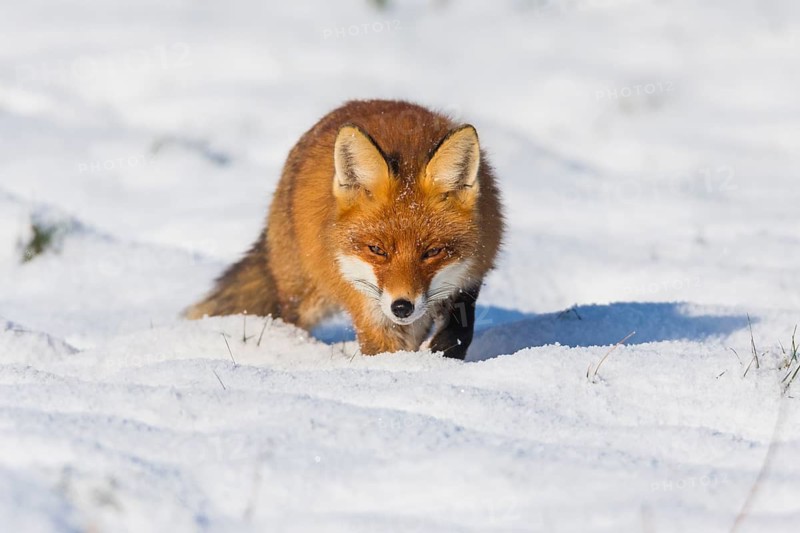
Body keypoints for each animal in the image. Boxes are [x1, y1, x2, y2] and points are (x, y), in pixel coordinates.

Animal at [186, 99, 504, 359]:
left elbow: (460, 330)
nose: (402, 307)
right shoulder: (365, 301)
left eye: (433, 251)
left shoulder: (469, 276)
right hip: (304, 295)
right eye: (376, 249)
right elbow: (382, 349)